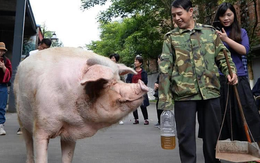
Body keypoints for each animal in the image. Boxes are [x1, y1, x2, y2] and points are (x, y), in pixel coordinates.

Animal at [13, 46, 148, 163]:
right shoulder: (41, 127)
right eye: (107, 83)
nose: (142, 83)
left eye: (119, 79)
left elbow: (67, 157)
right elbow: (41, 155)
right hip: (21, 118)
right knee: (28, 143)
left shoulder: (70, 134)